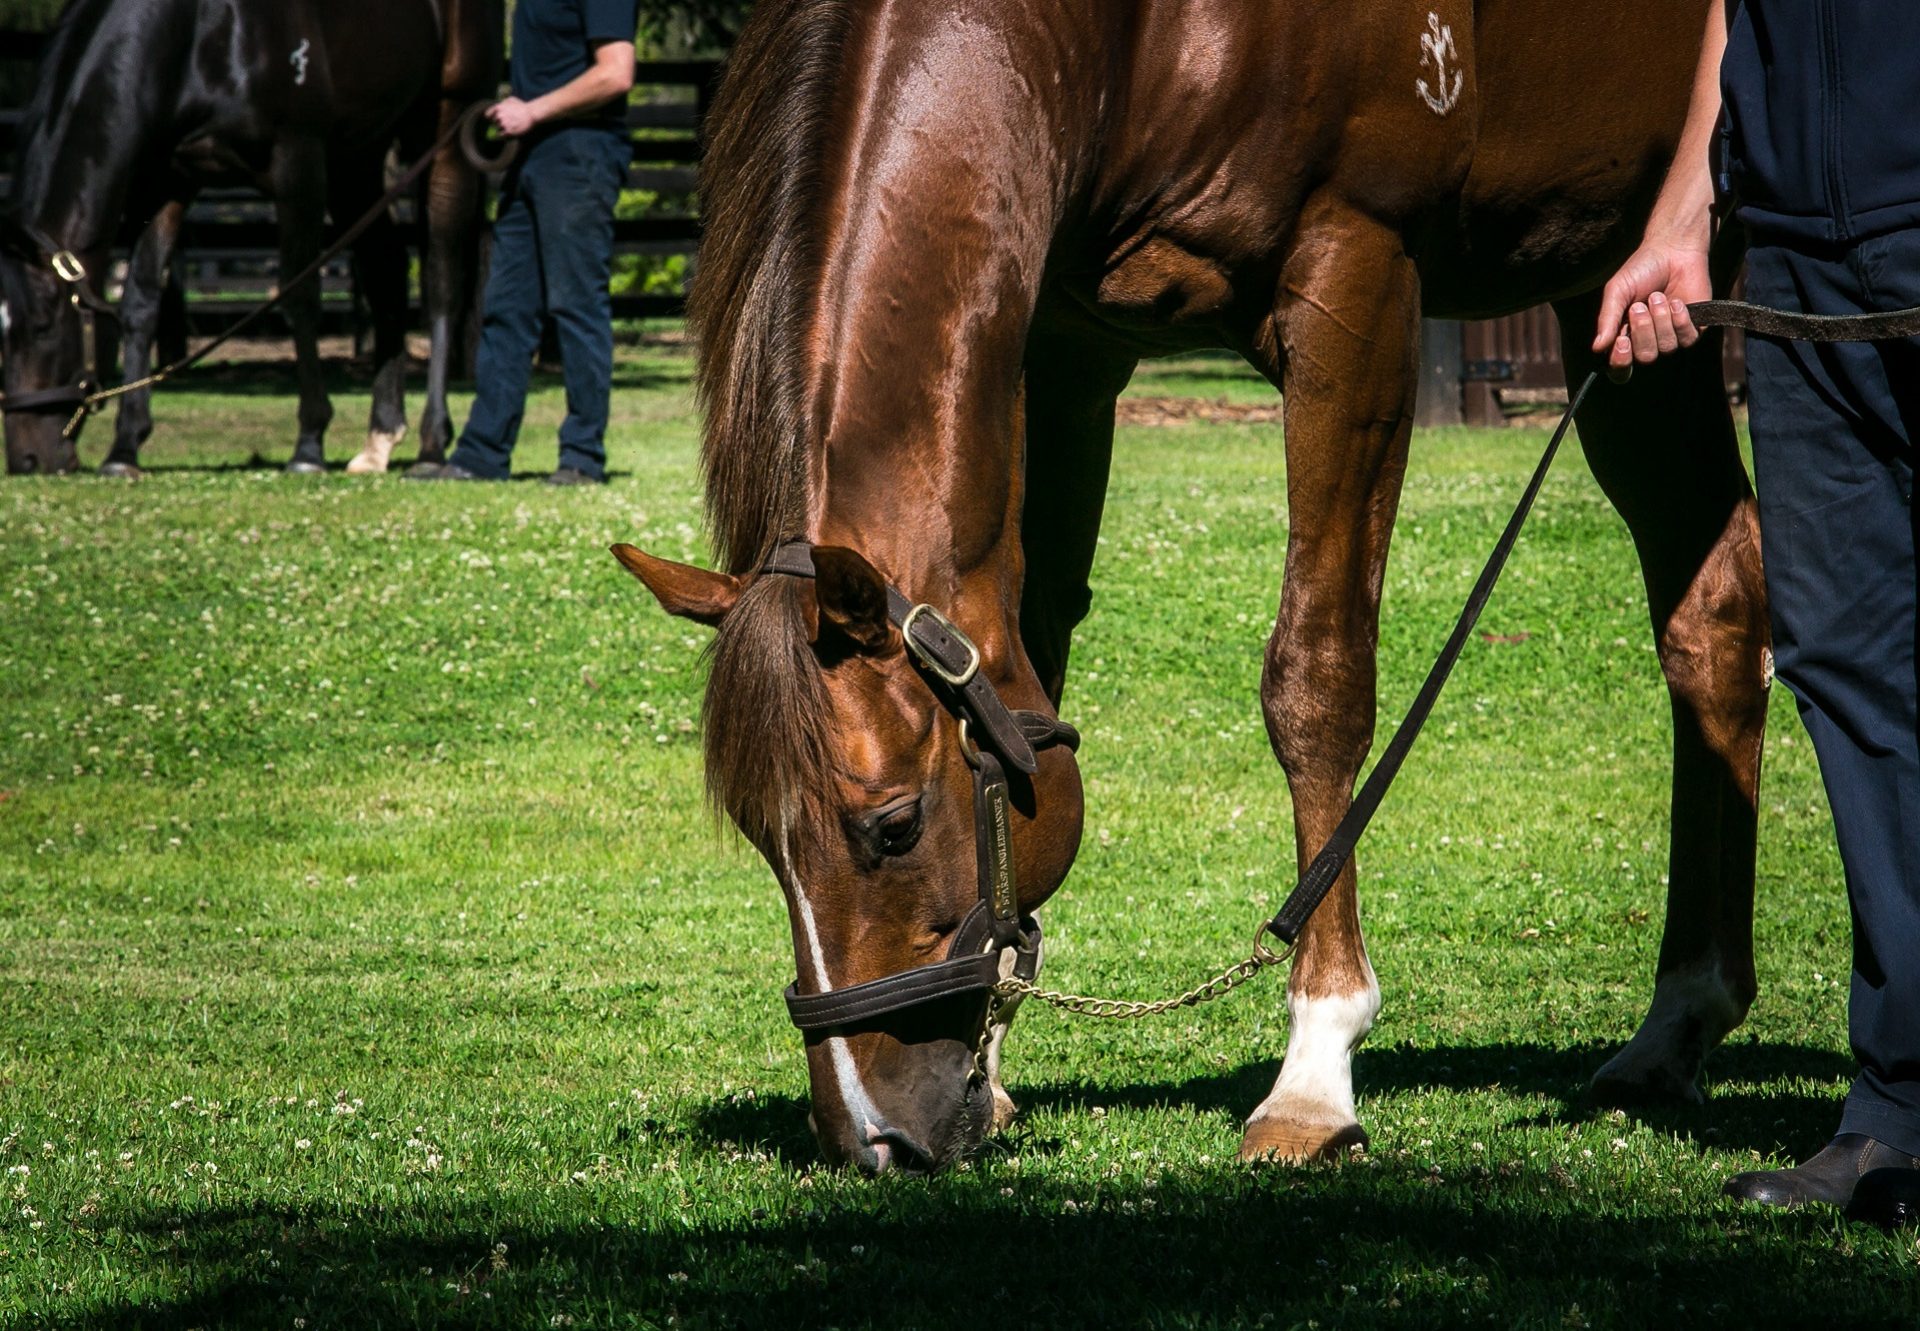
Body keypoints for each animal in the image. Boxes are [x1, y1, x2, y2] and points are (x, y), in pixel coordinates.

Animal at [0, 0, 503, 474]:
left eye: (42, 326)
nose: (28, 459)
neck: (206, 31)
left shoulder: (298, 162)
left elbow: (300, 295)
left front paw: (309, 445)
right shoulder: (169, 180)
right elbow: (140, 303)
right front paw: (124, 449)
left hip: (445, 127)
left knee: (441, 280)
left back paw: (432, 445)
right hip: (356, 159)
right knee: (388, 273)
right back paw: (379, 440)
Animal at [614, 0, 1766, 1175]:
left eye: (890, 826)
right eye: (762, 839)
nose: (873, 1136)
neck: (1131, 39)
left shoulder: (1356, 280)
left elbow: (1319, 681)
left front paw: (1315, 1071)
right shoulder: (1063, 340)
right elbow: (1034, 652)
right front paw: (1001, 1062)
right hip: (1631, 302)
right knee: (1715, 615)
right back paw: (1679, 1022)